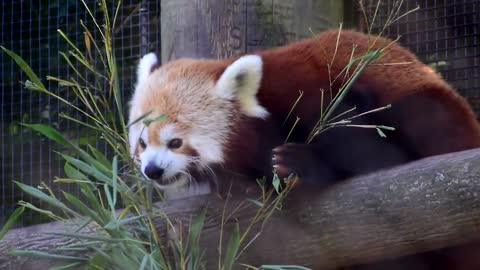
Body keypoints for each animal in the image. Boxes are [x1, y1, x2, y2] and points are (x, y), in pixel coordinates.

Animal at [126, 29, 480, 190]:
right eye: (142, 143)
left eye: (175, 142)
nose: (152, 170)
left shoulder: (318, 94)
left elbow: (376, 158)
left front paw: (298, 165)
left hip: (429, 107)